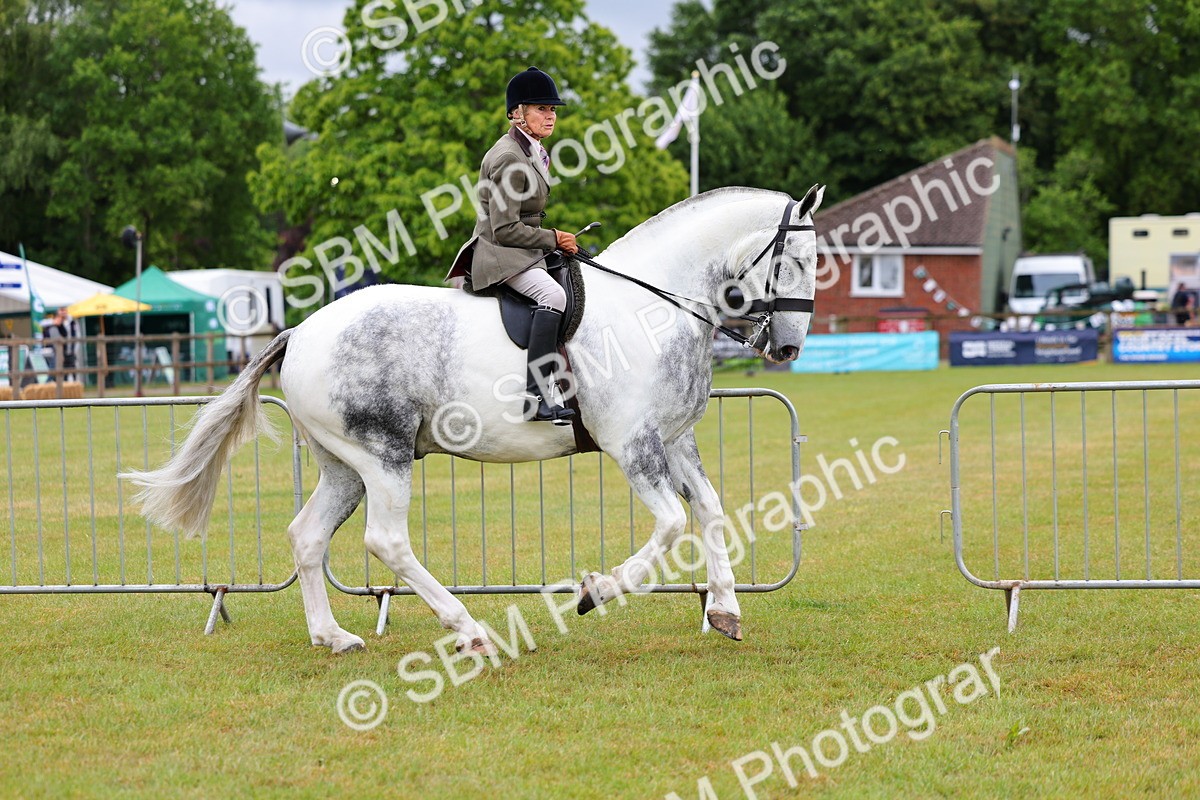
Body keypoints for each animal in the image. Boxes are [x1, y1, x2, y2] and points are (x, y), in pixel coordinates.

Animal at [122, 185, 824, 654]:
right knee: (386, 542)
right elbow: (675, 523)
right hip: (384, 456)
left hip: (343, 466)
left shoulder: (675, 440)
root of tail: (301, 330)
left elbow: (710, 510)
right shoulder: (633, 444)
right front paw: (595, 591)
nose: (788, 348)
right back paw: (471, 629)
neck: (654, 306)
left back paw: (334, 636)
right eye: (796, 261)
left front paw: (726, 610)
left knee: (307, 536)